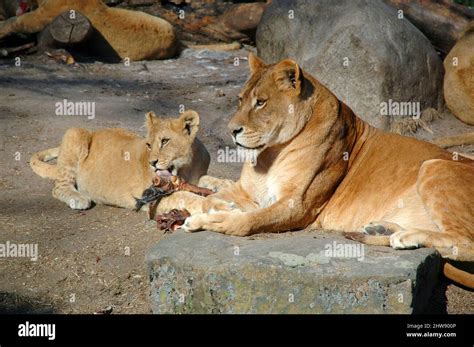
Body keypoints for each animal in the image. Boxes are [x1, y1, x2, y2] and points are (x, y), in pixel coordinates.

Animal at [31, 111, 209, 213]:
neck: (187, 167)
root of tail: (94, 132)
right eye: (149, 145)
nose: (152, 162)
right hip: (75, 132)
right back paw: (78, 199)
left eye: (165, 141)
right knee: (59, 187)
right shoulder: (152, 197)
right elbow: (187, 197)